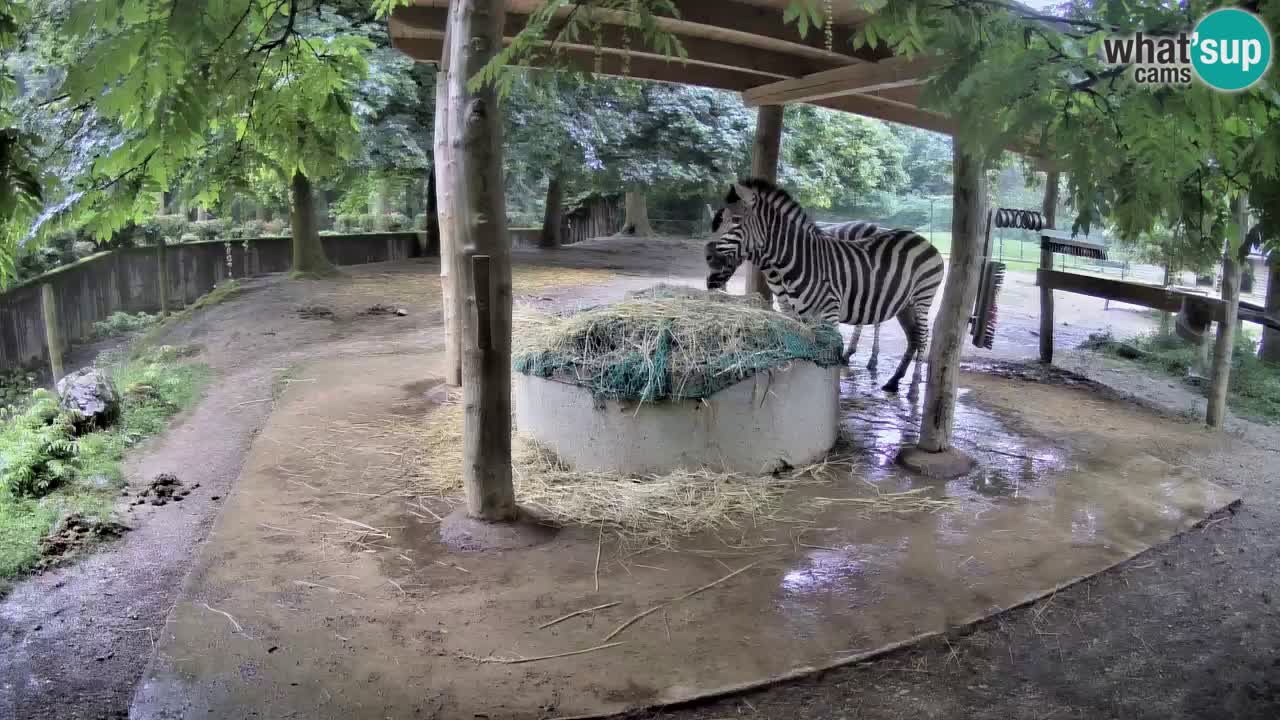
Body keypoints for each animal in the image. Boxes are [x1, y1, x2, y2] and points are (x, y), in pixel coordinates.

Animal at [704, 208, 886, 370]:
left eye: (711, 257)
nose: (710, 285)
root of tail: (872, 226)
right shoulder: (785, 295)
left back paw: (871, 359)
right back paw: (853, 353)